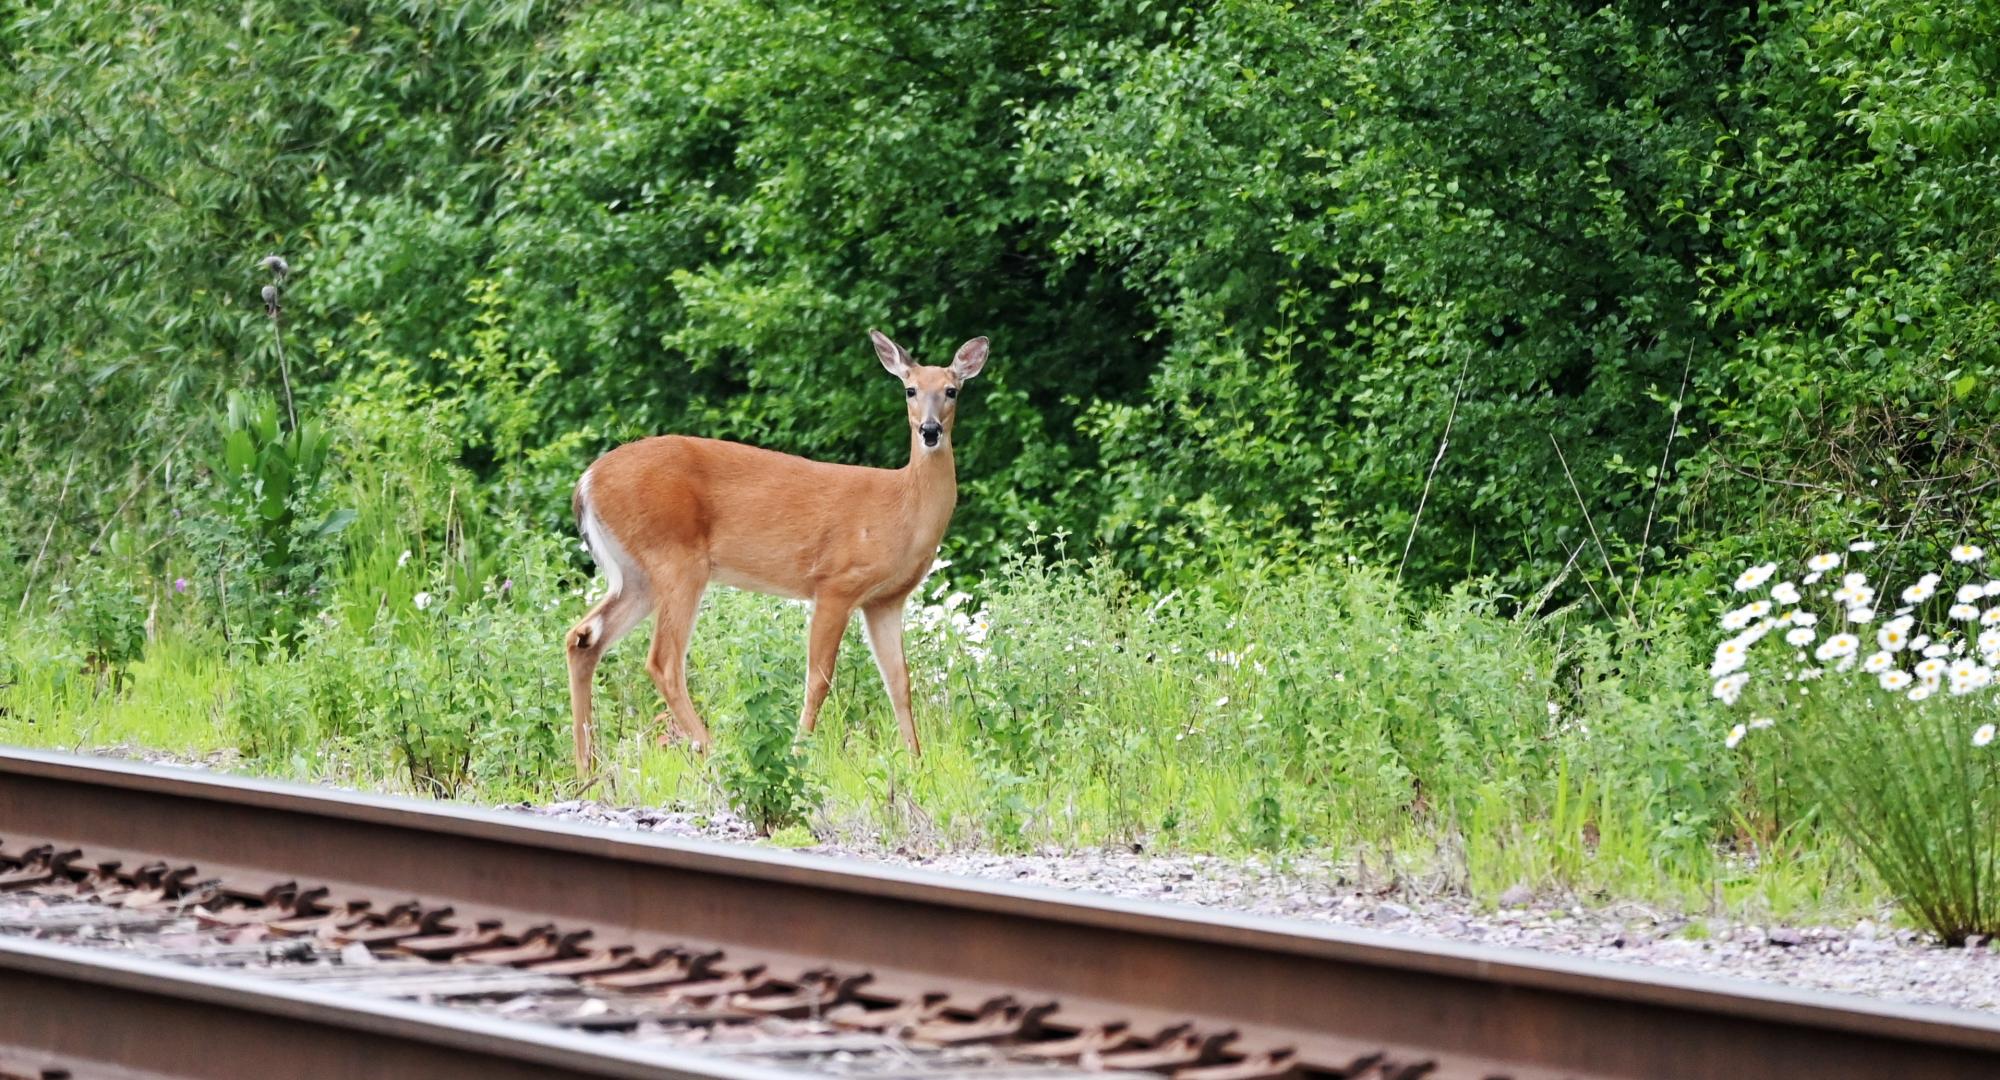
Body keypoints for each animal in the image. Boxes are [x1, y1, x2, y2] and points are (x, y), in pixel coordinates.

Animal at [568, 330, 988, 776]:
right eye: (910, 389)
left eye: (951, 390)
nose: (930, 430)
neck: (901, 509)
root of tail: (587, 482)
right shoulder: (835, 583)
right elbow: (819, 678)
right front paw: (799, 754)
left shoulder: (885, 601)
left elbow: (899, 682)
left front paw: (916, 763)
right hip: (677, 560)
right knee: (663, 661)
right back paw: (715, 755)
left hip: (638, 575)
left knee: (583, 639)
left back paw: (586, 768)